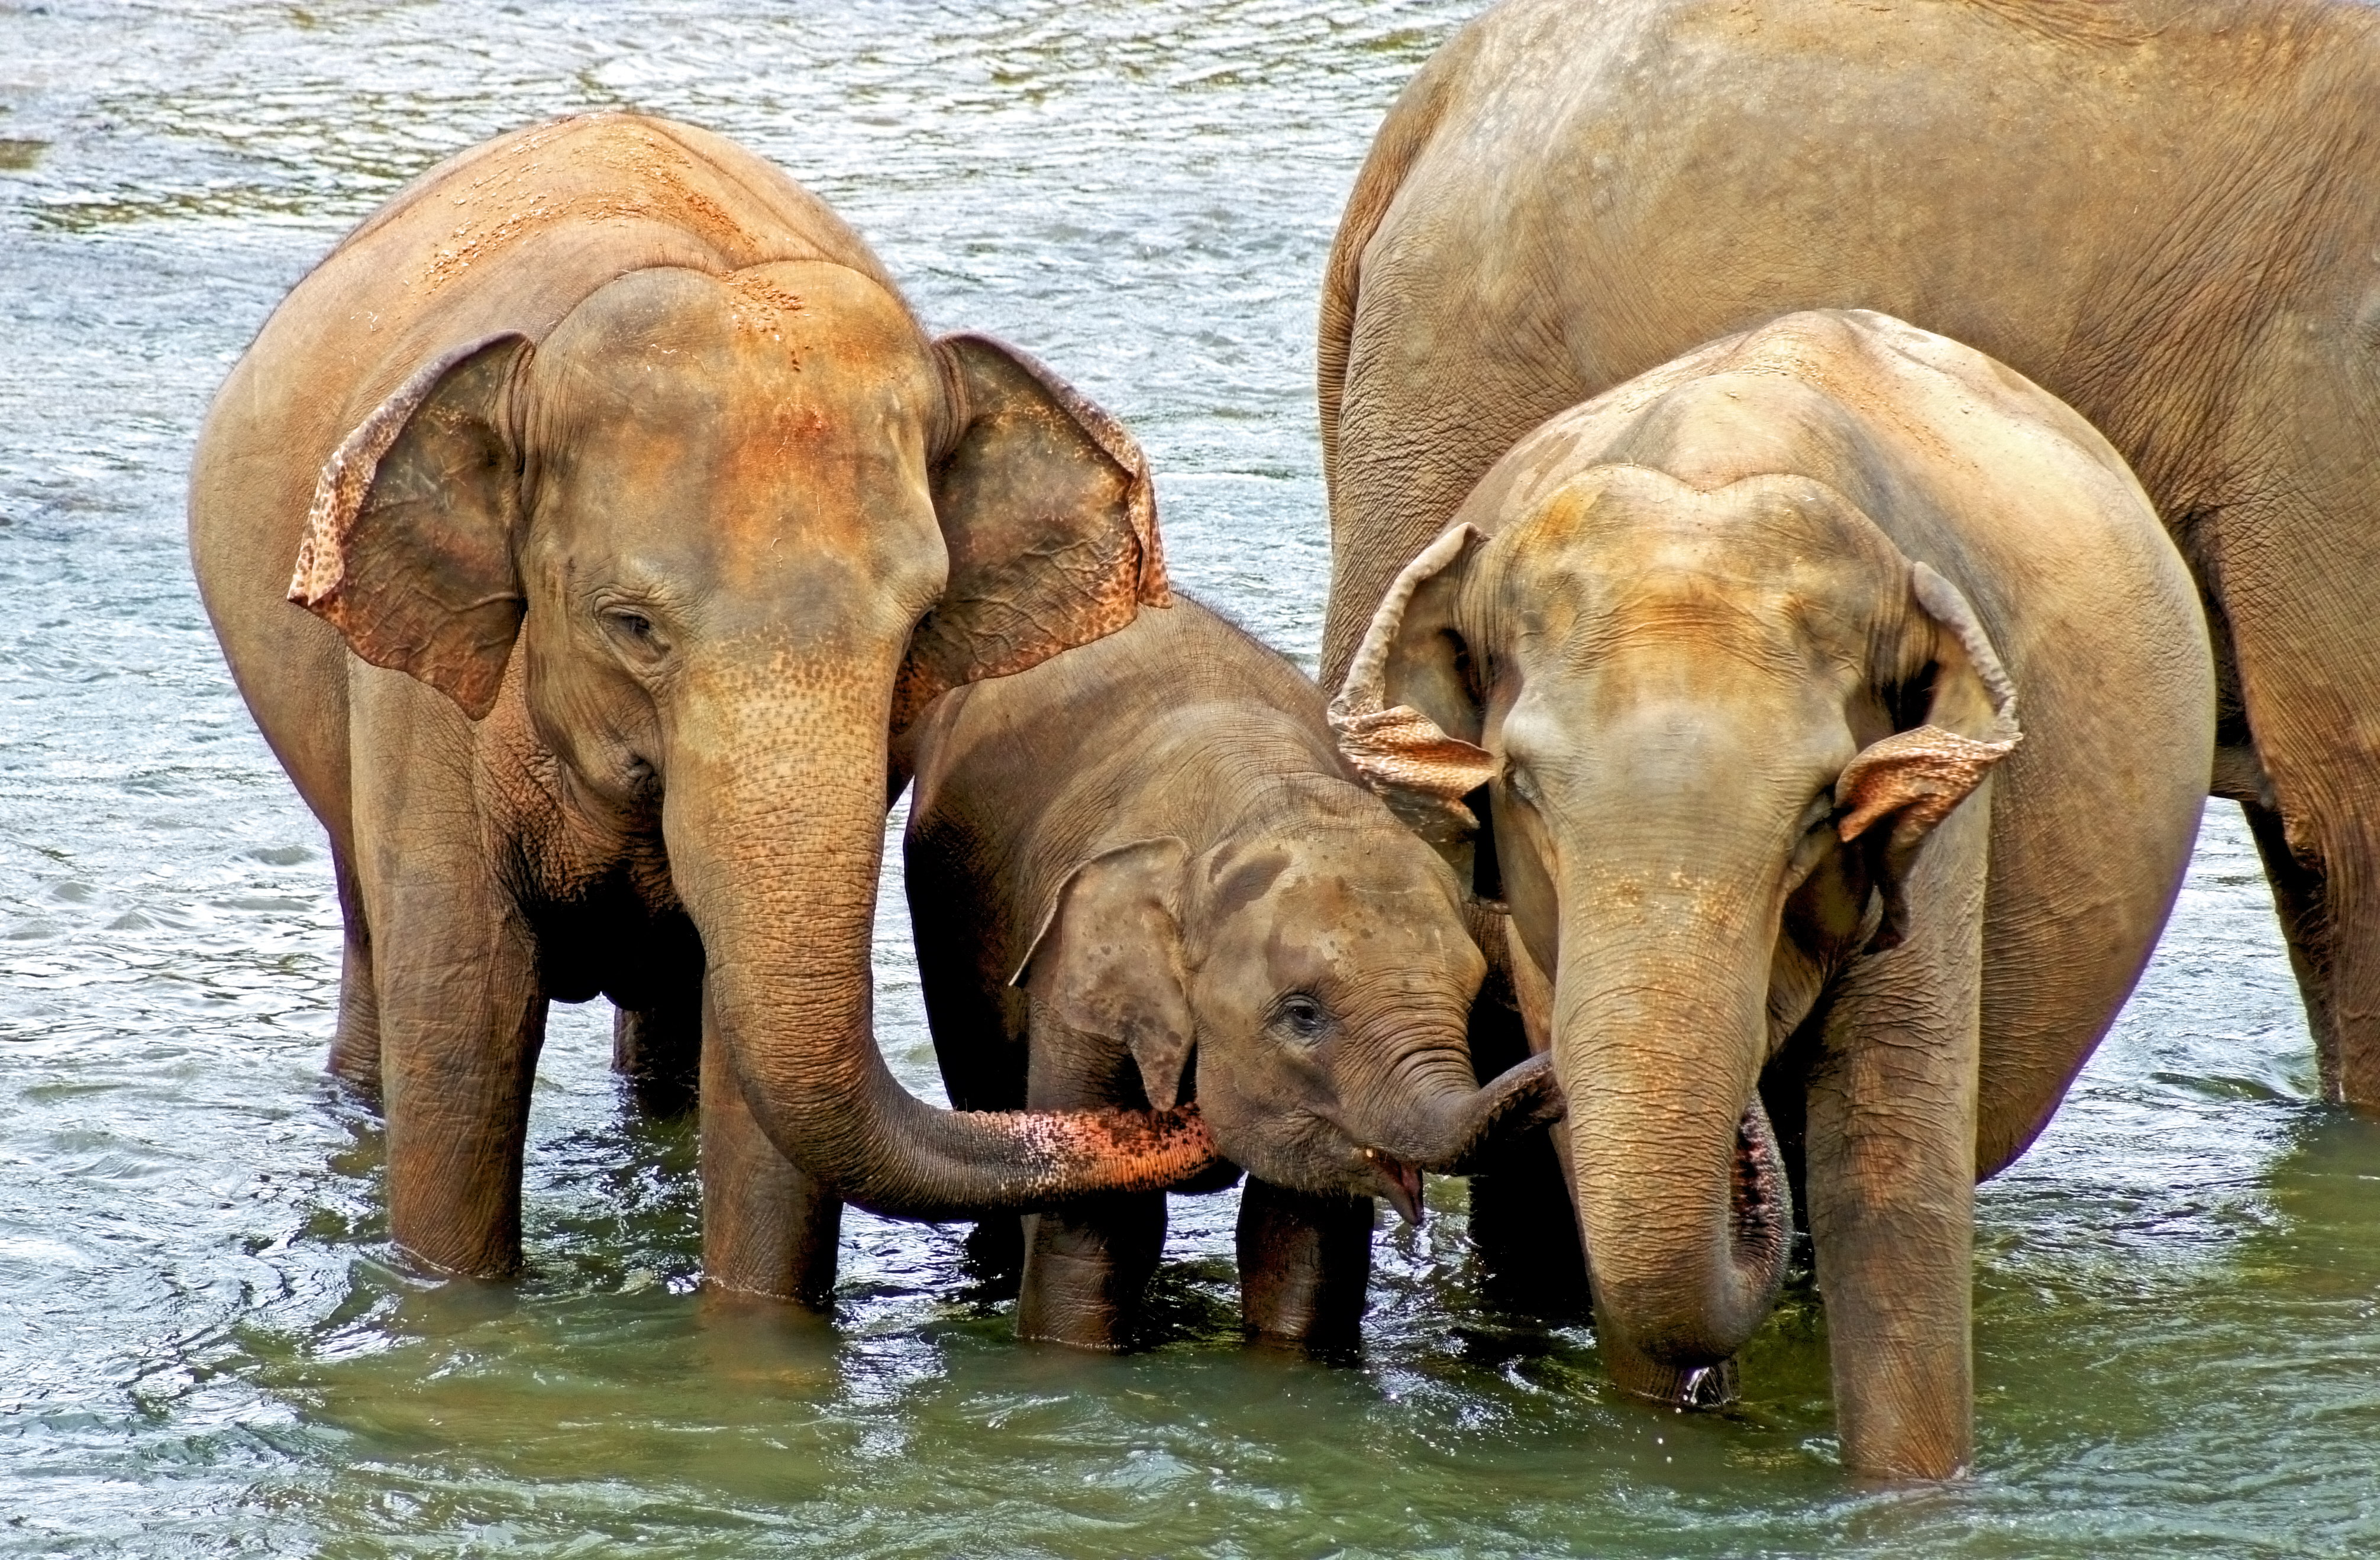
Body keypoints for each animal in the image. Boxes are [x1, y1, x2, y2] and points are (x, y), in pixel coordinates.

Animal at [195, 116, 1218, 1286]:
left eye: (918, 626)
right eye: (631, 626)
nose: (1184, 1114)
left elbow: (761, 1097)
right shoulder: (426, 714)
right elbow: (463, 1024)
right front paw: (451, 1303)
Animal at [899, 593, 1551, 1352]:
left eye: (1474, 998)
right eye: (1303, 1015)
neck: (1263, 794)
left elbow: (1302, 1238)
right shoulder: (1077, 988)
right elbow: (1098, 1227)